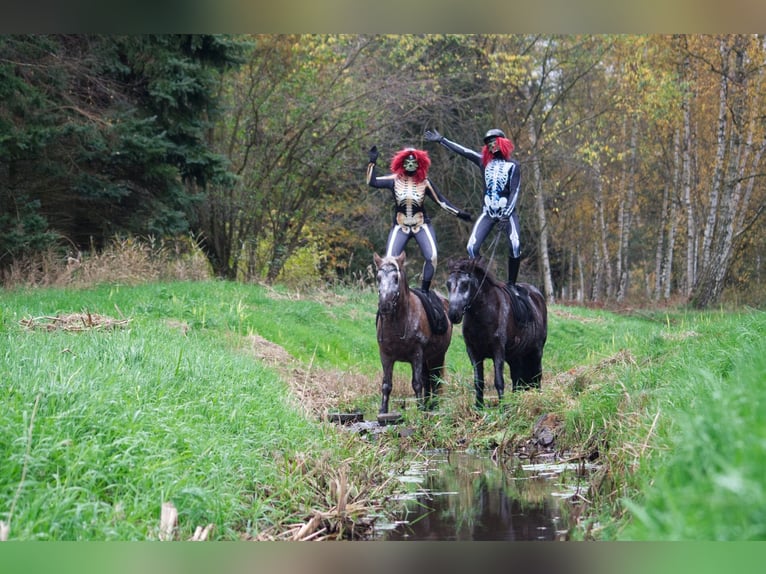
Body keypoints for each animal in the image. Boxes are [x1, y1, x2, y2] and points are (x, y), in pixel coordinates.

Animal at [376, 252, 452, 414]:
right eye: (378, 278)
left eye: (396, 278)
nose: (385, 305)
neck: (398, 322)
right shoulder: (385, 355)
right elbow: (386, 385)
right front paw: (383, 411)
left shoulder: (416, 354)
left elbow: (417, 383)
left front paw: (419, 410)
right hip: (426, 359)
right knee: (428, 380)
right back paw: (428, 404)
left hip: (437, 356)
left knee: (435, 381)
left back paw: (433, 406)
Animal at [448, 258, 548, 412]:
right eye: (448, 284)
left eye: (465, 284)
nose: (453, 314)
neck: (484, 314)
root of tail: (537, 295)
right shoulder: (473, 353)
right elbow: (478, 382)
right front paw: (478, 407)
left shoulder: (498, 352)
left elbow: (499, 381)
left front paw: (502, 408)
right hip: (515, 356)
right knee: (517, 378)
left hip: (536, 351)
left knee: (537, 376)